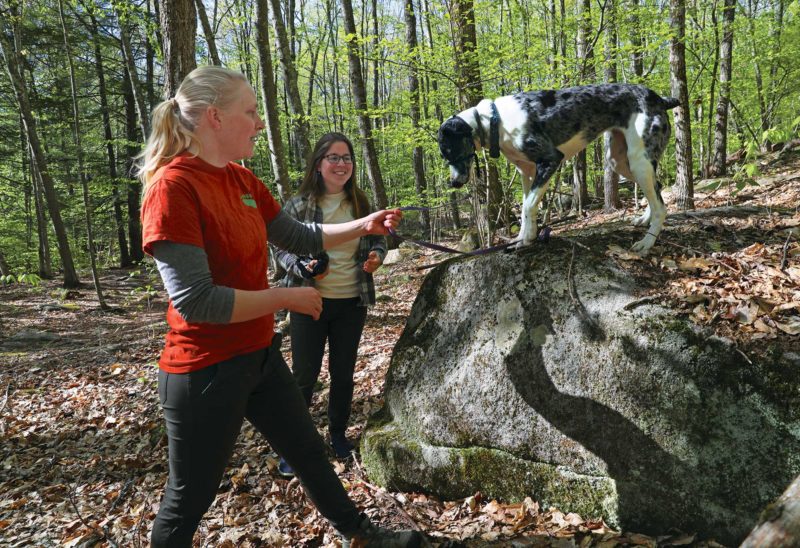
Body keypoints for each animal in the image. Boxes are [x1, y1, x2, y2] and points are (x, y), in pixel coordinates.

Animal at [440, 82, 680, 254]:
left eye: (451, 151)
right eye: (444, 156)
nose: (454, 182)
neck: (494, 120)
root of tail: (660, 99)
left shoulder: (550, 160)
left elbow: (527, 206)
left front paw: (527, 238)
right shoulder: (527, 173)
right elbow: (526, 209)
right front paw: (523, 238)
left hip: (638, 161)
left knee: (661, 206)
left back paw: (647, 242)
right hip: (621, 162)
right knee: (657, 188)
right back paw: (645, 220)